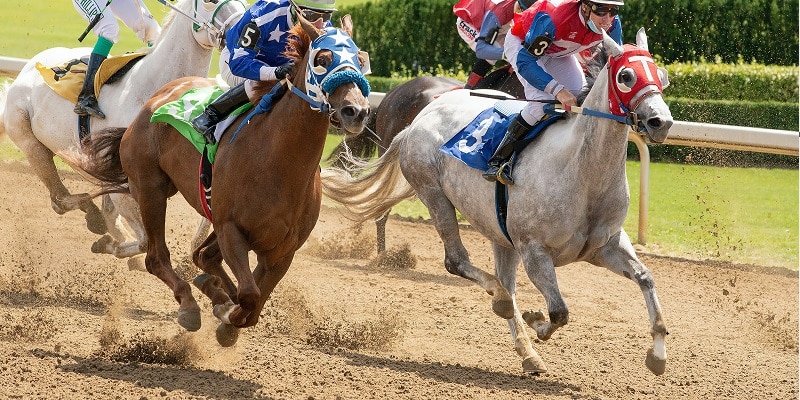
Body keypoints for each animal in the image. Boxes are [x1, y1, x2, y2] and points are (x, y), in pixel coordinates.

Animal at [0, 0, 244, 264]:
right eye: (210, 3)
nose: (241, 32)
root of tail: (28, 68)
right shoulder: (127, 185)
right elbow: (145, 240)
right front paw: (116, 248)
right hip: (30, 140)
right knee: (60, 200)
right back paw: (93, 217)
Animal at [72, 15, 372, 346]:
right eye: (322, 59)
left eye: (360, 60)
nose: (356, 111)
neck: (279, 163)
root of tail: (156, 98)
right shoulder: (231, 229)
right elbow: (250, 294)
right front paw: (225, 311)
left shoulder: (282, 251)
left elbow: (254, 303)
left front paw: (225, 311)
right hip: (151, 189)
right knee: (156, 257)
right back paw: (189, 305)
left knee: (201, 256)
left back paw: (211, 290)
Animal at [322, 29, 672, 376]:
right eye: (626, 76)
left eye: (662, 75)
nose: (661, 122)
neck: (582, 173)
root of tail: (419, 119)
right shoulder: (534, 250)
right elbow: (559, 311)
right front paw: (536, 320)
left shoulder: (605, 246)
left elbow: (646, 278)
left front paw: (658, 354)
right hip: (433, 193)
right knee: (461, 264)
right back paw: (498, 301)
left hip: (499, 232)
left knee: (505, 283)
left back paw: (527, 353)